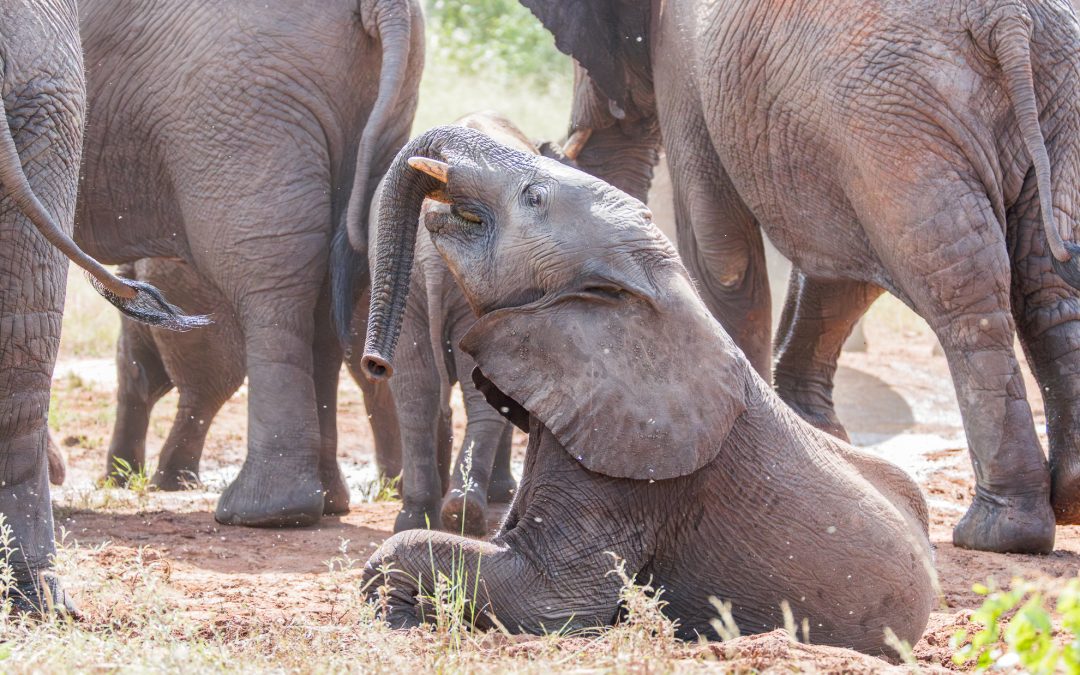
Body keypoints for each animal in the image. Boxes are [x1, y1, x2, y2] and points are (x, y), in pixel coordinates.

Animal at [355, 126, 936, 654]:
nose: (375, 364)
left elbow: (552, 602)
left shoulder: (633, 474)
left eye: (533, 197)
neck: (654, 282)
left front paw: (398, 614)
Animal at [521, 0, 1080, 554]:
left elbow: (721, 251)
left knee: (963, 296)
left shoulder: (684, 63)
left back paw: (997, 533)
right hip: (1045, 103)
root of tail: (1008, 21)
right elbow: (837, 269)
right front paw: (819, 444)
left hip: (893, 122)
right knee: (1047, 285)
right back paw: (1064, 501)